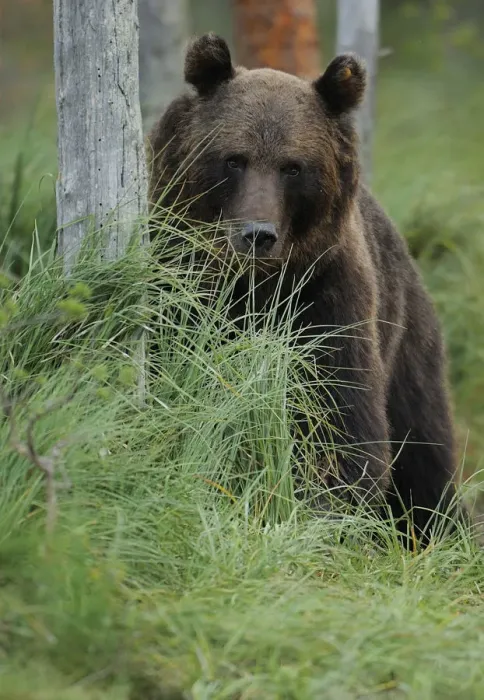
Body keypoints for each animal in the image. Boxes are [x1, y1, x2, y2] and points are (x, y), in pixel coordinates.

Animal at [148, 33, 464, 542]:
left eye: (293, 167)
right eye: (233, 159)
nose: (257, 235)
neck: (254, 285)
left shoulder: (326, 298)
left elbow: (338, 418)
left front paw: (325, 513)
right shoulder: (180, 281)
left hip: (407, 338)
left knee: (425, 449)